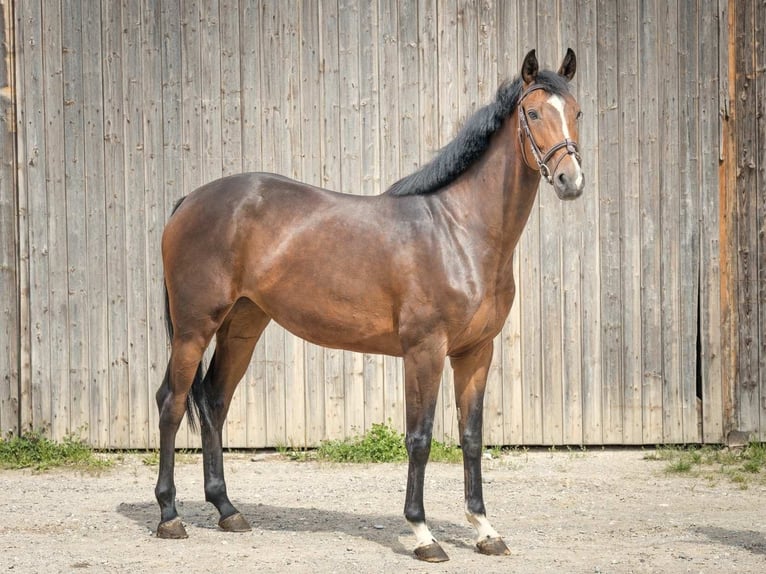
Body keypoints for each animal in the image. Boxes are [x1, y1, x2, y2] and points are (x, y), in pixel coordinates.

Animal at [158, 49, 588, 564]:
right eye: (534, 113)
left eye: (578, 111)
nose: (570, 180)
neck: (459, 231)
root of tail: (189, 200)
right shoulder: (424, 351)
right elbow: (420, 438)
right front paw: (423, 534)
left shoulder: (476, 352)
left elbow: (472, 437)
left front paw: (485, 530)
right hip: (193, 328)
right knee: (172, 403)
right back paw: (169, 516)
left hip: (243, 324)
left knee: (214, 401)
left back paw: (227, 509)